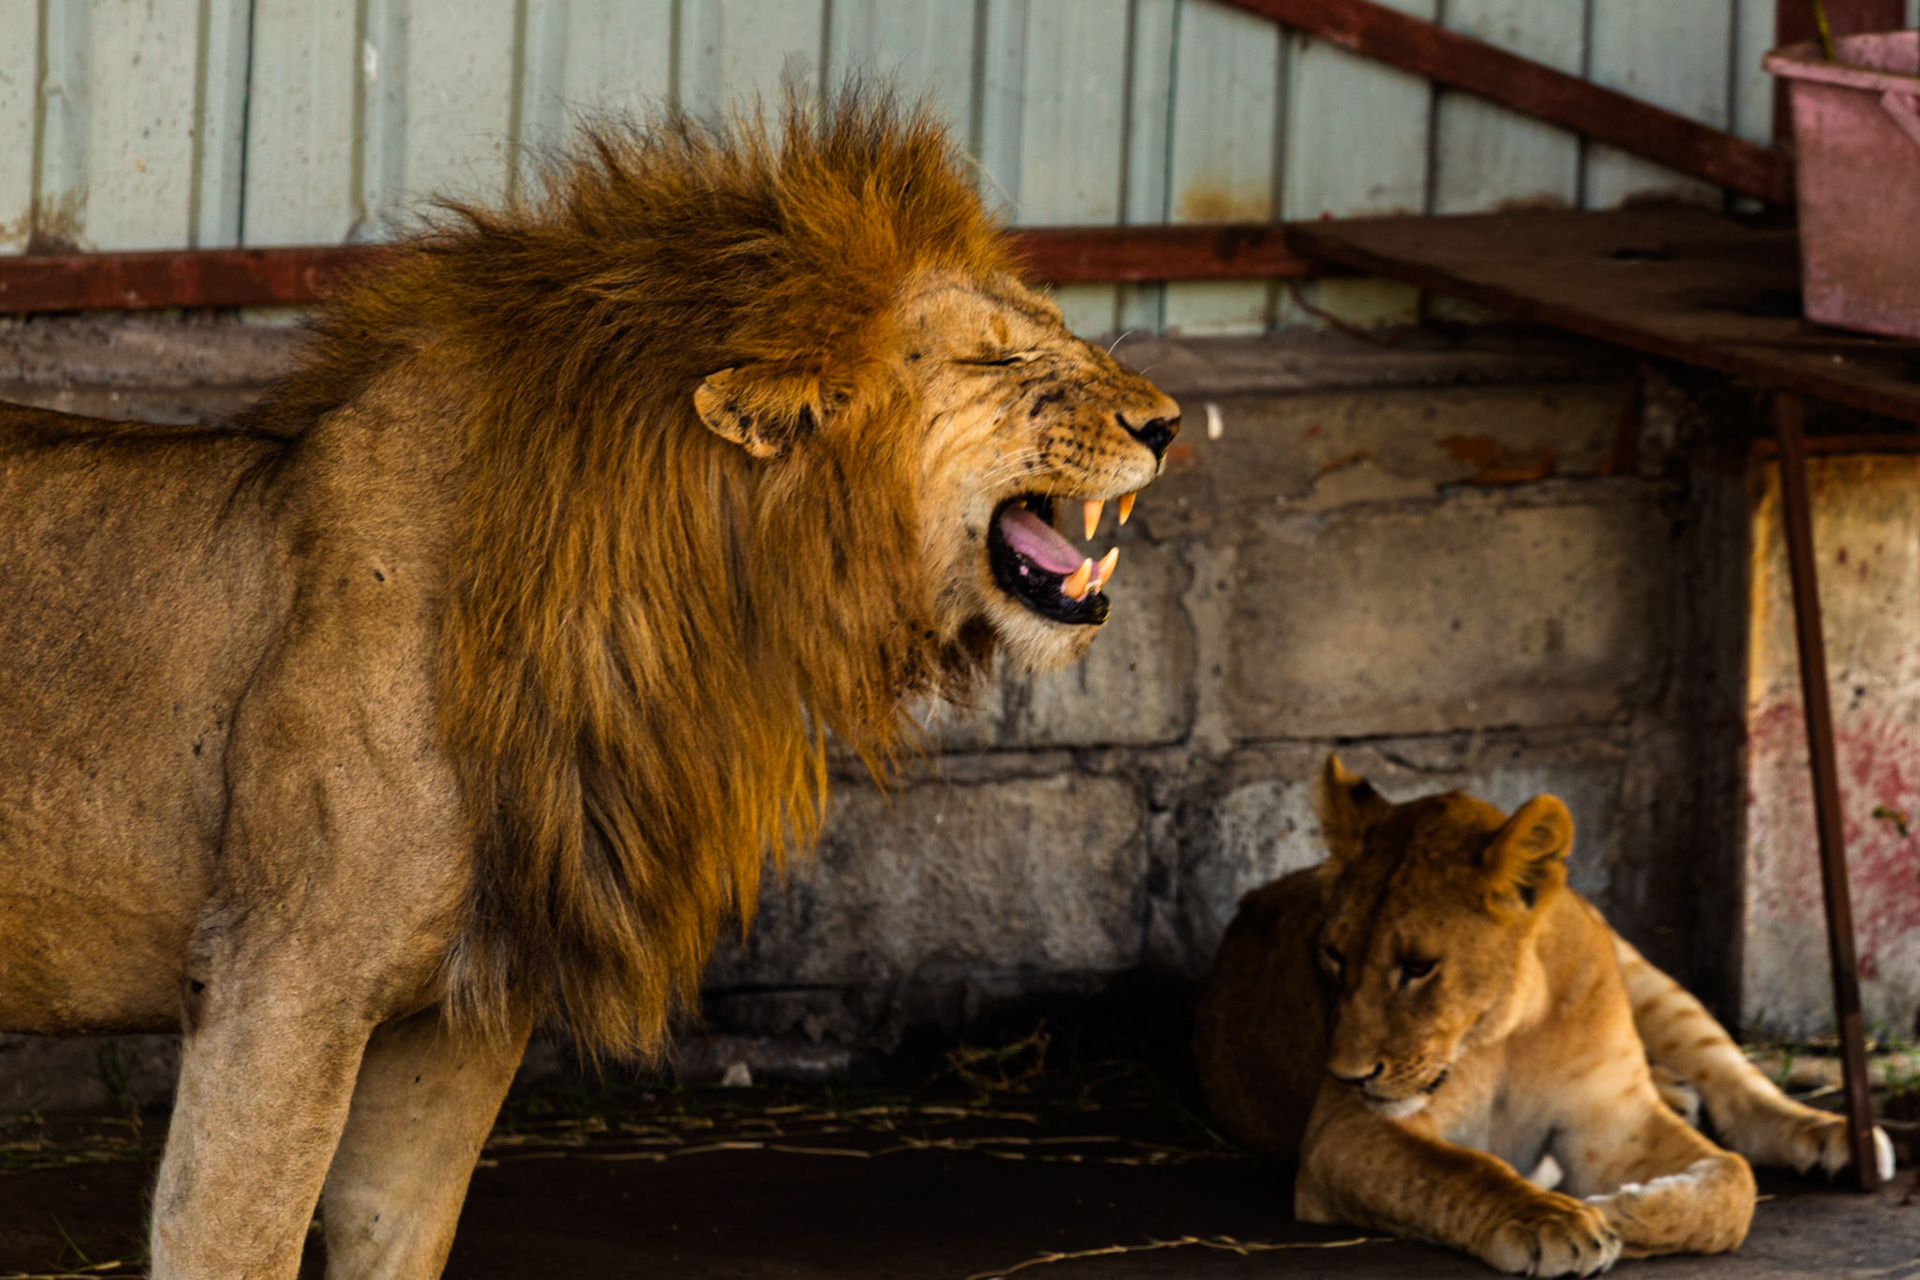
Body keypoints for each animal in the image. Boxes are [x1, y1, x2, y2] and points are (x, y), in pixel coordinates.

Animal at [0, 93, 1178, 1278]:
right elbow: (233, 1236)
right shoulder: (278, 976)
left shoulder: (465, 1010)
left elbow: (391, 1226)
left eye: (1056, 323)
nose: (1168, 422)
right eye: (994, 358)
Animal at [1193, 756, 1894, 1277]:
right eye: (1333, 953)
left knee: (1738, 1085)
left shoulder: (1616, 1122)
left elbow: (1733, 1182)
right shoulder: (1341, 1134)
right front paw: (1555, 1220)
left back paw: (1835, 1136)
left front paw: (1620, 1213)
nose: (1345, 1074)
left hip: (1651, 981)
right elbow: (1460, 1170)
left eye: (1418, 966)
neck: (1510, 1031)